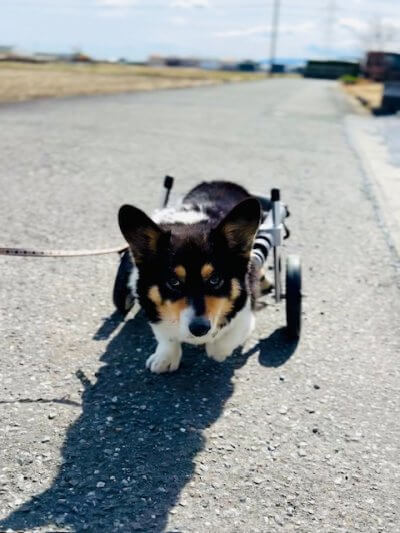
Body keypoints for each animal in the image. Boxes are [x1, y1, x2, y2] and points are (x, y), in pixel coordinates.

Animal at [118, 181, 262, 372]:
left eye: (214, 279)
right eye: (174, 282)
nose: (199, 329)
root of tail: (222, 182)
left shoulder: (246, 314)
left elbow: (226, 339)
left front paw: (217, 351)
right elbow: (166, 335)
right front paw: (166, 357)